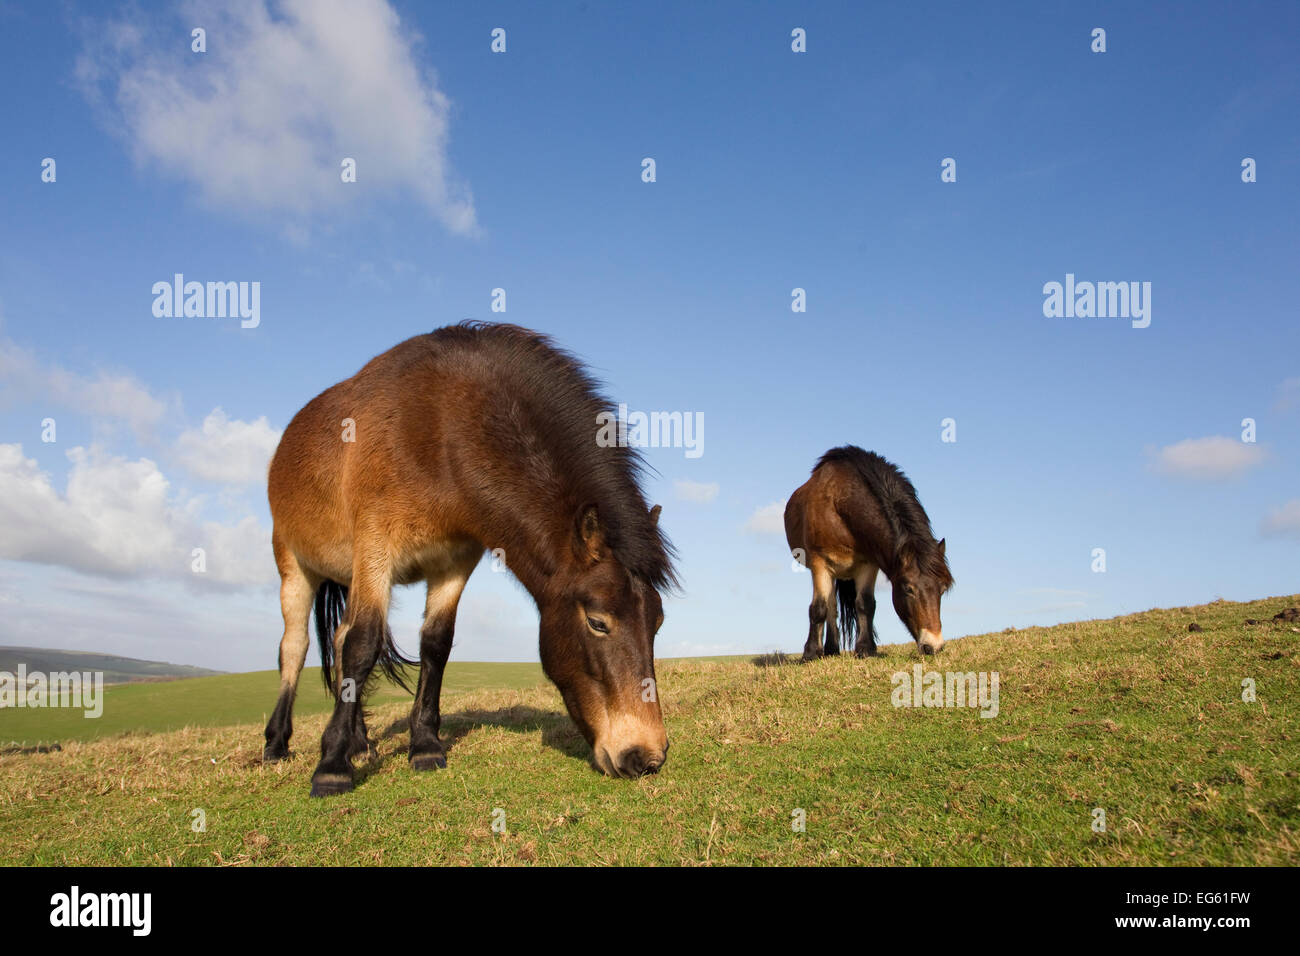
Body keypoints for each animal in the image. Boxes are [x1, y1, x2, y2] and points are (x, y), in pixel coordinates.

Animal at [258, 321, 676, 790]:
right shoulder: (375, 551)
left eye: (657, 622)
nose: (646, 757)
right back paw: (277, 745)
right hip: (295, 566)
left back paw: (359, 741)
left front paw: (424, 745)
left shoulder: (454, 562)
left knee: (338, 637)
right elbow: (363, 645)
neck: (440, 432)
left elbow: (435, 644)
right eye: (598, 623)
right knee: (296, 647)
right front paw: (332, 767)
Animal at [780, 447, 956, 658]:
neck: (839, 506)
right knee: (829, 607)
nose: (934, 646)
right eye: (908, 589)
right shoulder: (819, 563)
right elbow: (818, 608)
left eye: (942, 589)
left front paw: (866, 649)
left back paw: (832, 649)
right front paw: (811, 652)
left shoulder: (869, 564)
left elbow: (865, 604)